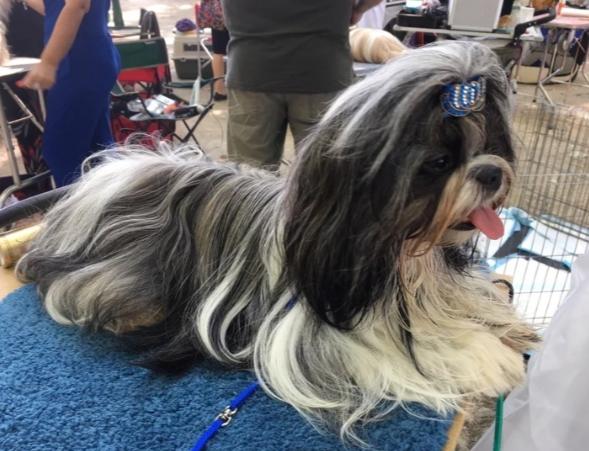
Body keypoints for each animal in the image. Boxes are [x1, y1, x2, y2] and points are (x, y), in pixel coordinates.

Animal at [17, 41, 538, 442]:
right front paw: (488, 354)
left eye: (487, 145)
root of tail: (103, 181)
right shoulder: (326, 340)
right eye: (438, 163)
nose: (491, 172)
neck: (405, 255)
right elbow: (424, 350)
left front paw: (506, 327)